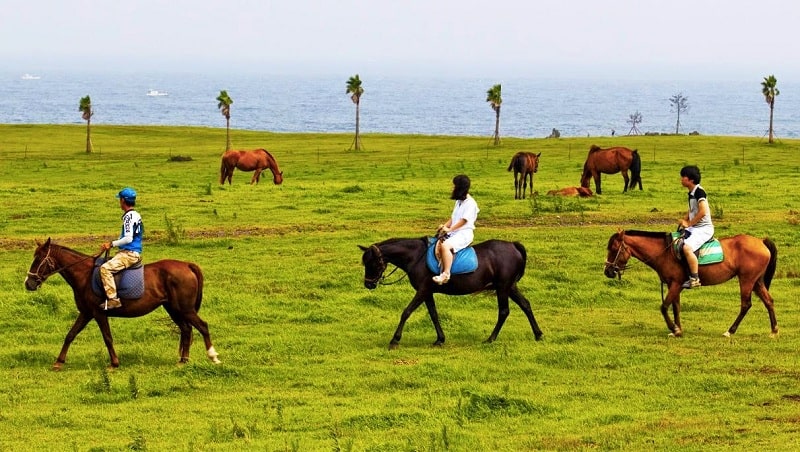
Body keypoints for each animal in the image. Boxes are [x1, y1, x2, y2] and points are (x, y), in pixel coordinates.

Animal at [23, 238, 220, 370]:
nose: (28, 283)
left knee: (202, 326)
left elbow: (107, 338)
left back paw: (213, 357)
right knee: (186, 329)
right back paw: (183, 360)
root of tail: (187, 265)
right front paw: (59, 361)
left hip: (184, 309)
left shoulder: (98, 313)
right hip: (173, 309)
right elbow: (70, 335)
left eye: (38, 259)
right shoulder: (86, 313)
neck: (84, 275)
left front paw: (114, 363)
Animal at [360, 238, 544, 348]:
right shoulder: (428, 292)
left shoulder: (423, 290)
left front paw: (395, 340)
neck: (417, 257)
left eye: (373, 263)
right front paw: (440, 339)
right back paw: (538, 334)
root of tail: (513, 245)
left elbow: (406, 312)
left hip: (503, 287)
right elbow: (433, 315)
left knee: (504, 311)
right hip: (510, 287)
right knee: (526, 305)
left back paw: (491, 339)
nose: (368, 284)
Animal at [604, 231, 780, 338]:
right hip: (757, 281)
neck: (665, 252)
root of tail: (761, 241)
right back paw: (774, 331)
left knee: (746, 304)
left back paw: (730, 331)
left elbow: (664, 307)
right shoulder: (674, 286)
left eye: (614, 249)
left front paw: (674, 328)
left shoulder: (675, 284)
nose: (607, 271)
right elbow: (676, 307)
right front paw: (678, 330)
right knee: (769, 301)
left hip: (746, 280)